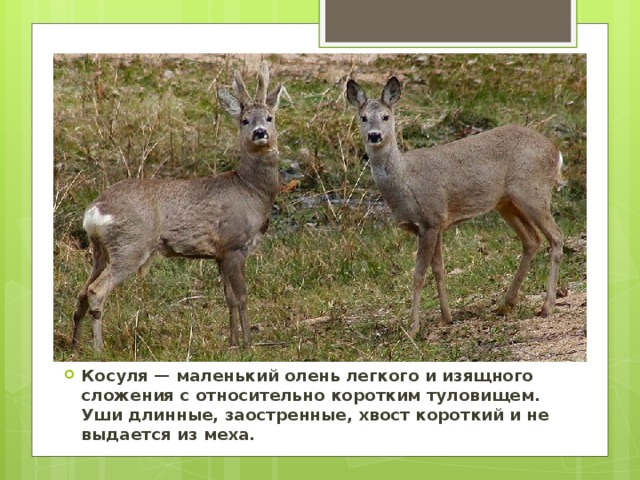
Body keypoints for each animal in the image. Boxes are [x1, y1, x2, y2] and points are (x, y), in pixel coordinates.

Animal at [72, 63, 283, 352]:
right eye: (245, 120)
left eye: (270, 118)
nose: (260, 133)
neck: (251, 191)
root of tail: (95, 210)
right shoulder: (234, 244)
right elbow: (242, 297)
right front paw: (248, 345)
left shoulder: (219, 253)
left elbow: (228, 298)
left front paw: (232, 343)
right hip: (131, 244)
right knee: (95, 290)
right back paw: (98, 348)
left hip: (101, 250)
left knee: (82, 290)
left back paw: (74, 345)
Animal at [346, 76, 564, 338]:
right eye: (363, 117)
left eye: (386, 116)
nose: (374, 135)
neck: (406, 181)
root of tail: (556, 151)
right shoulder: (436, 224)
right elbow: (438, 270)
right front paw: (446, 317)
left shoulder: (430, 219)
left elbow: (419, 275)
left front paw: (413, 327)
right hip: (506, 203)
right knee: (532, 239)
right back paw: (505, 304)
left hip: (533, 192)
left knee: (556, 236)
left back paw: (546, 307)